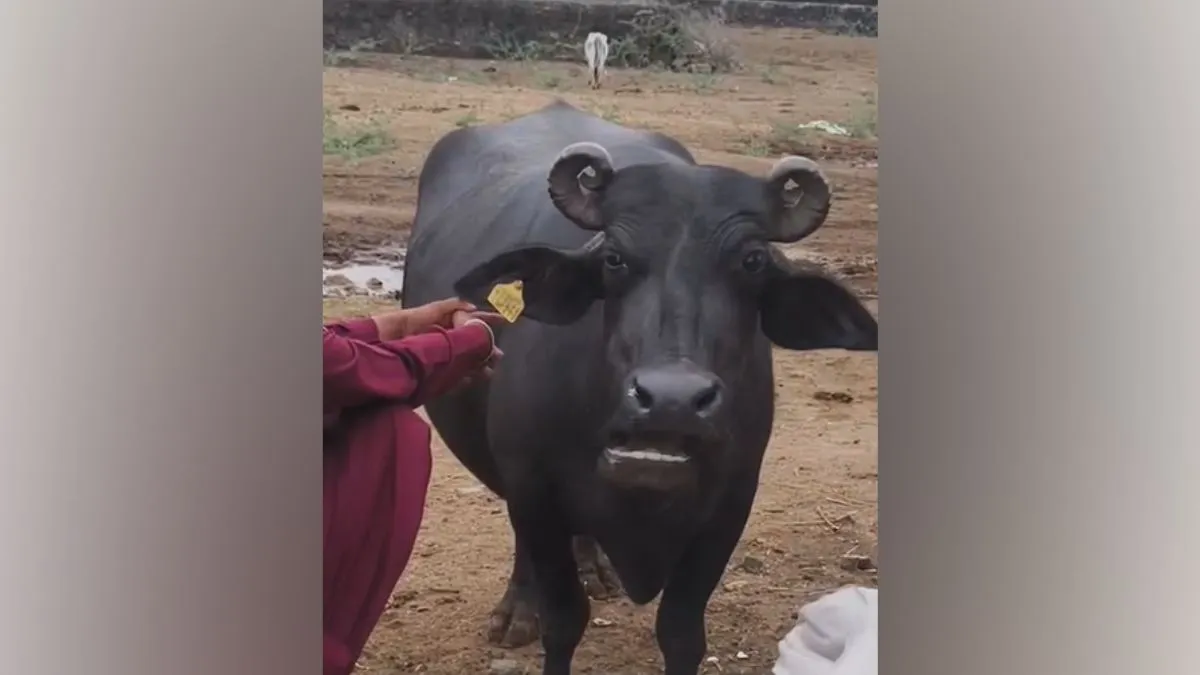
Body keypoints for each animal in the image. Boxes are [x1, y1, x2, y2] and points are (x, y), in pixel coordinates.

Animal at [401, 100, 877, 675]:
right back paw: (517, 610)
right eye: (613, 258)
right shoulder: (533, 491)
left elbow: (681, 633)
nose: (672, 400)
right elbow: (563, 621)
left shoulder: (728, 507)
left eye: (753, 261)